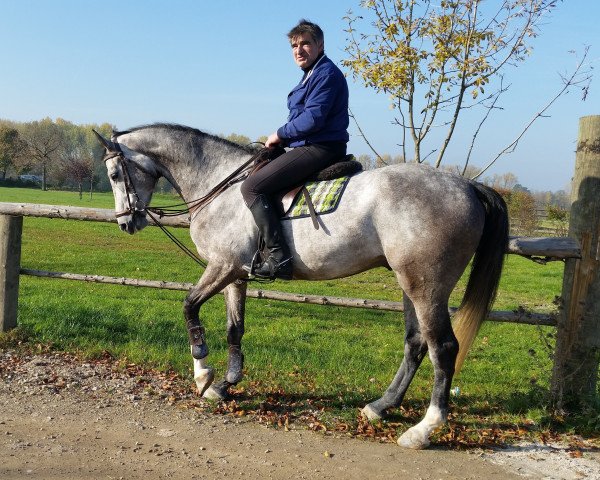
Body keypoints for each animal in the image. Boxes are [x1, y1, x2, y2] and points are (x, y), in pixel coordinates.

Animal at [94, 124, 506, 450]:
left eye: (114, 174)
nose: (125, 223)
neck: (219, 185)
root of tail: (468, 186)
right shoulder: (236, 274)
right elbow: (234, 328)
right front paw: (226, 383)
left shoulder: (221, 267)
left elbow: (189, 307)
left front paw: (203, 375)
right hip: (409, 284)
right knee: (416, 343)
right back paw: (380, 407)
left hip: (426, 286)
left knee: (443, 347)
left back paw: (424, 430)